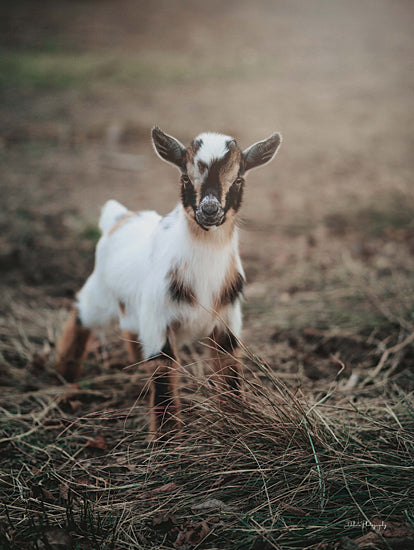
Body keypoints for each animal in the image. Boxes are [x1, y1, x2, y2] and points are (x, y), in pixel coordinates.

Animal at [56, 128, 282, 440]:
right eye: (185, 177)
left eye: (238, 179)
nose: (209, 210)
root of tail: (120, 217)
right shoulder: (158, 319)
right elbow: (163, 372)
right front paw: (167, 439)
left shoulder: (227, 319)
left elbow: (229, 368)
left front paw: (239, 420)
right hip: (100, 293)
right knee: (81, 314)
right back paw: (65, 371)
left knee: (128, 328)